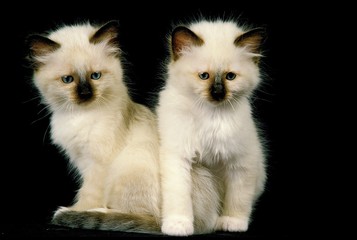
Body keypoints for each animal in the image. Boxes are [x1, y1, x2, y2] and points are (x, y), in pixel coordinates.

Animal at [157, 19, 266, 236]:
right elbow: (179, 199)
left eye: (230, 77)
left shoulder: (241, 162)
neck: (211, 115)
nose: (217, 93)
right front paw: (178, 225)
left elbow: (238, 200)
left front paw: (232, 223)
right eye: (204, 76)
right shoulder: (178, 157)